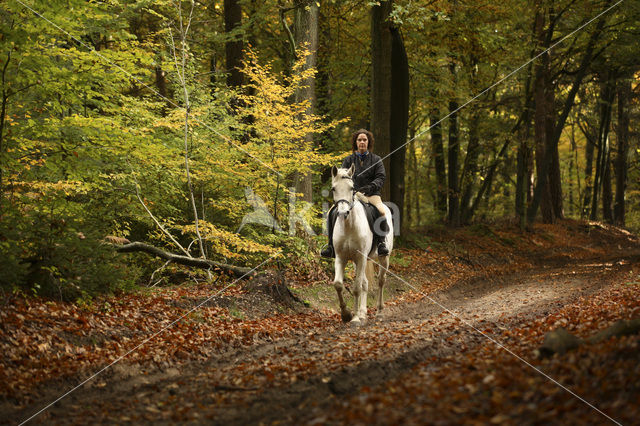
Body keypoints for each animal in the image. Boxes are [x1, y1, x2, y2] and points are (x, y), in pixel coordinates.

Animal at [332, 165, 392, 324]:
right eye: (333, 188)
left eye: (352, 188)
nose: (342, 213)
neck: (349, 226)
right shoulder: (341, 257)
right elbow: (338, 284)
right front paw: (346, 314)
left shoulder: (361, 257)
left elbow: (356, 288)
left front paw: (355, 318)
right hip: (360, 260)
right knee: (365, 283)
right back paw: (364, 312)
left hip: (383, 258)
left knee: (381, 281)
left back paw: (379, 312)